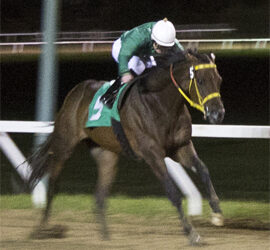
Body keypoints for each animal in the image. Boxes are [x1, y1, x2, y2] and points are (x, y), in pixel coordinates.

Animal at [28, 50, 225, 244]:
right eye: (201, 80)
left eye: (219, 80)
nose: (217, 114)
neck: (161, 103)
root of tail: (75, 92)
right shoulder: (152, 154)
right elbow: (173, 193)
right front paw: (192, 233)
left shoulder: (181, 147)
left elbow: (203, 169)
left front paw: (216, 212)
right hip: (64, 146)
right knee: (53, 187)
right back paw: (40, 229)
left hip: (106, 154)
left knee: (100, 196)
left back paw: (106, 237)